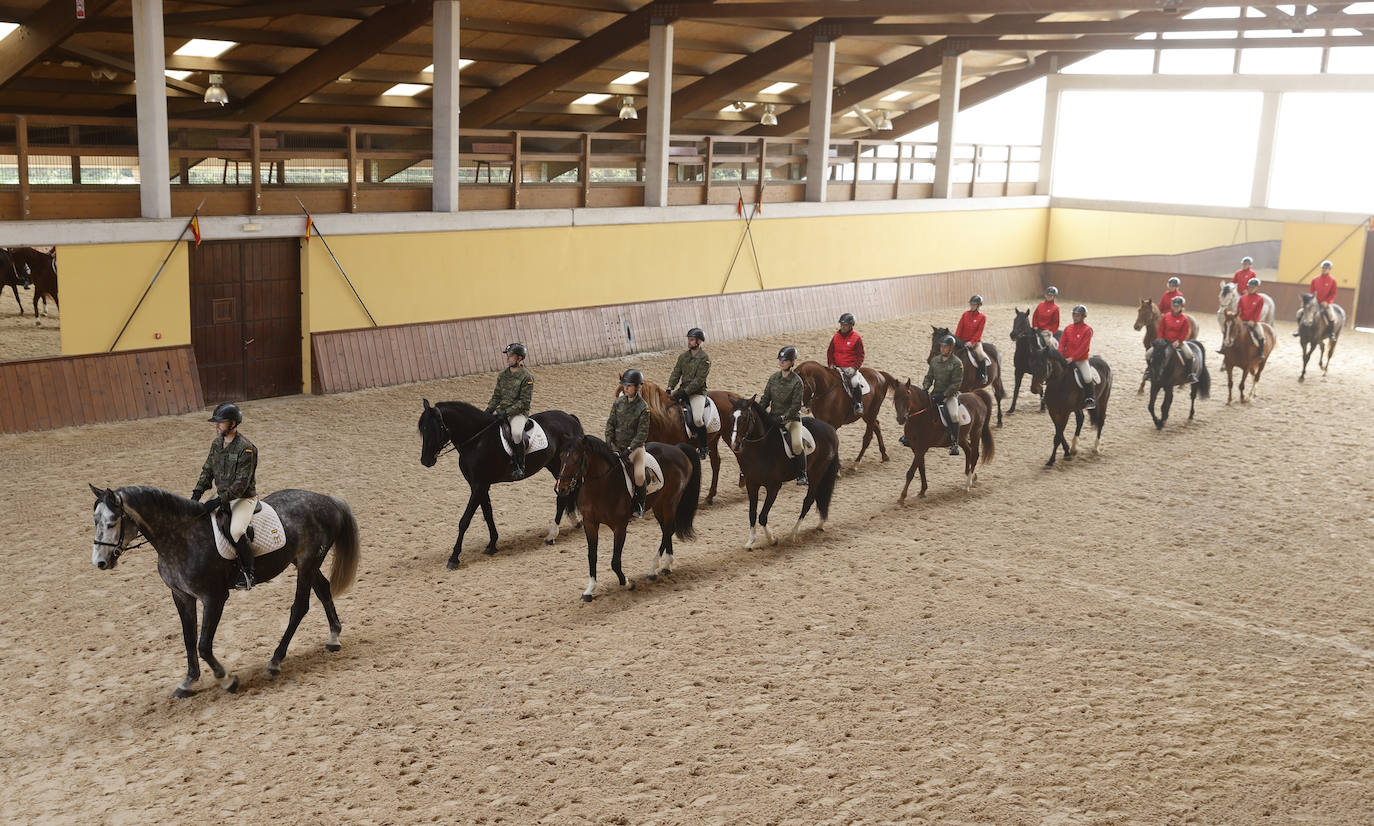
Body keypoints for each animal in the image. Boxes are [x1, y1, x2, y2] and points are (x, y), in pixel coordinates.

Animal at [87, 483, 359, 695]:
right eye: (95, 521)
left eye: (112, 522)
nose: (100, 562)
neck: (180, 538)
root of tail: (328, 500)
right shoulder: (181, 596)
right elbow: (189, 639)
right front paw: (188, 682)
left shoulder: (214, 597)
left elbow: (203, 644)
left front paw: (227, 680)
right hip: (304, 563)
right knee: (323, 589)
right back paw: (333, 637)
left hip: (308, 562)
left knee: (299, 607)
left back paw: (274, 661)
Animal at [423, 398, 585, 566]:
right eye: (422, 429)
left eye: (436, 428)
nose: (425, 460)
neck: (477, 440)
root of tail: (570, 418)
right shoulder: (481, 486)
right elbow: (488, 514)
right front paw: (492, 545)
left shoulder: (478, 486)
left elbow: (465, 521)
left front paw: (454, 557)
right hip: (556, 467)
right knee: (569, 492)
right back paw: (575, 521)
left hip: (560, 466)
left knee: (563, 497)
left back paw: (552, 536)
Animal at [549, 434, 697, 601]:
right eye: (561, 457)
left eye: (576, 459)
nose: (560, 489)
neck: (601, 485)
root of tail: (677, 449)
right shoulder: (590, 523)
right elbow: (592, 556)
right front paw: (589, 590)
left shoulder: (620, 527)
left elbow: (615, 561)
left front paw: (627, 582)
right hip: (658, 505)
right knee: (668, 530)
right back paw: (666, 566)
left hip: (670, 502)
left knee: (667, 531)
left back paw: (653, 569)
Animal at [725, 398, 840, 549]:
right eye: (732, 418)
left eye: (744, 418)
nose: (735, 444)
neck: (761, 448)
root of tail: (830, 429)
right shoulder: (752, 485)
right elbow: (752, 514)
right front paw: (751, 540)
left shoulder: (773, 487)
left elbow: (762, 516)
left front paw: (772, 539)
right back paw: (819, 524)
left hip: (816, 473)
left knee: (808, 500)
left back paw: (794, 533)